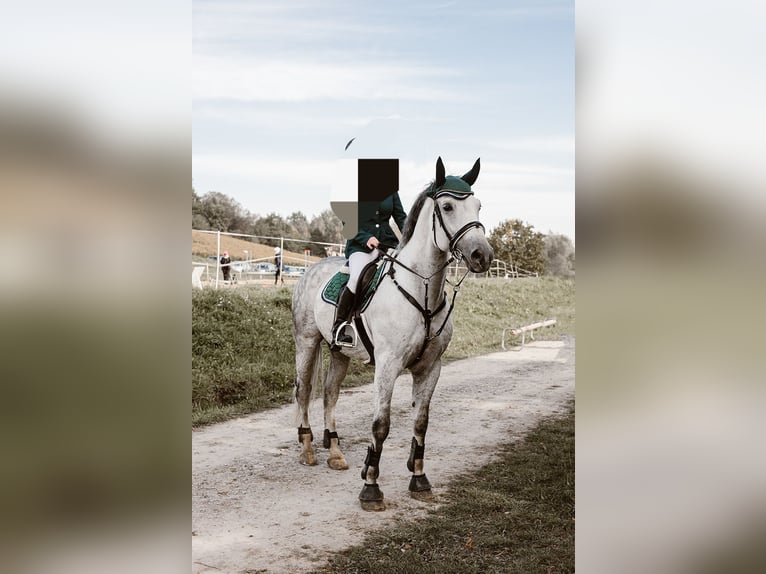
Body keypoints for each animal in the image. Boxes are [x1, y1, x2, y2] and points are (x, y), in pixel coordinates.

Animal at [292, 158, 496, 512]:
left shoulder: (431, 367)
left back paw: (335, 452)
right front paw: (371, 487)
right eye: (447, 206)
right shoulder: (387, 365)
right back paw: (307, 450)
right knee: (304, 392)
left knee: (330, 394)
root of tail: (311, 269)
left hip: (339, 351)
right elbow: (381, 425)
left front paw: (419, 479)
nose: (481, 256)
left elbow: (421, 422)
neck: (422, 289)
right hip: (307, 342)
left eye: (478, 205)